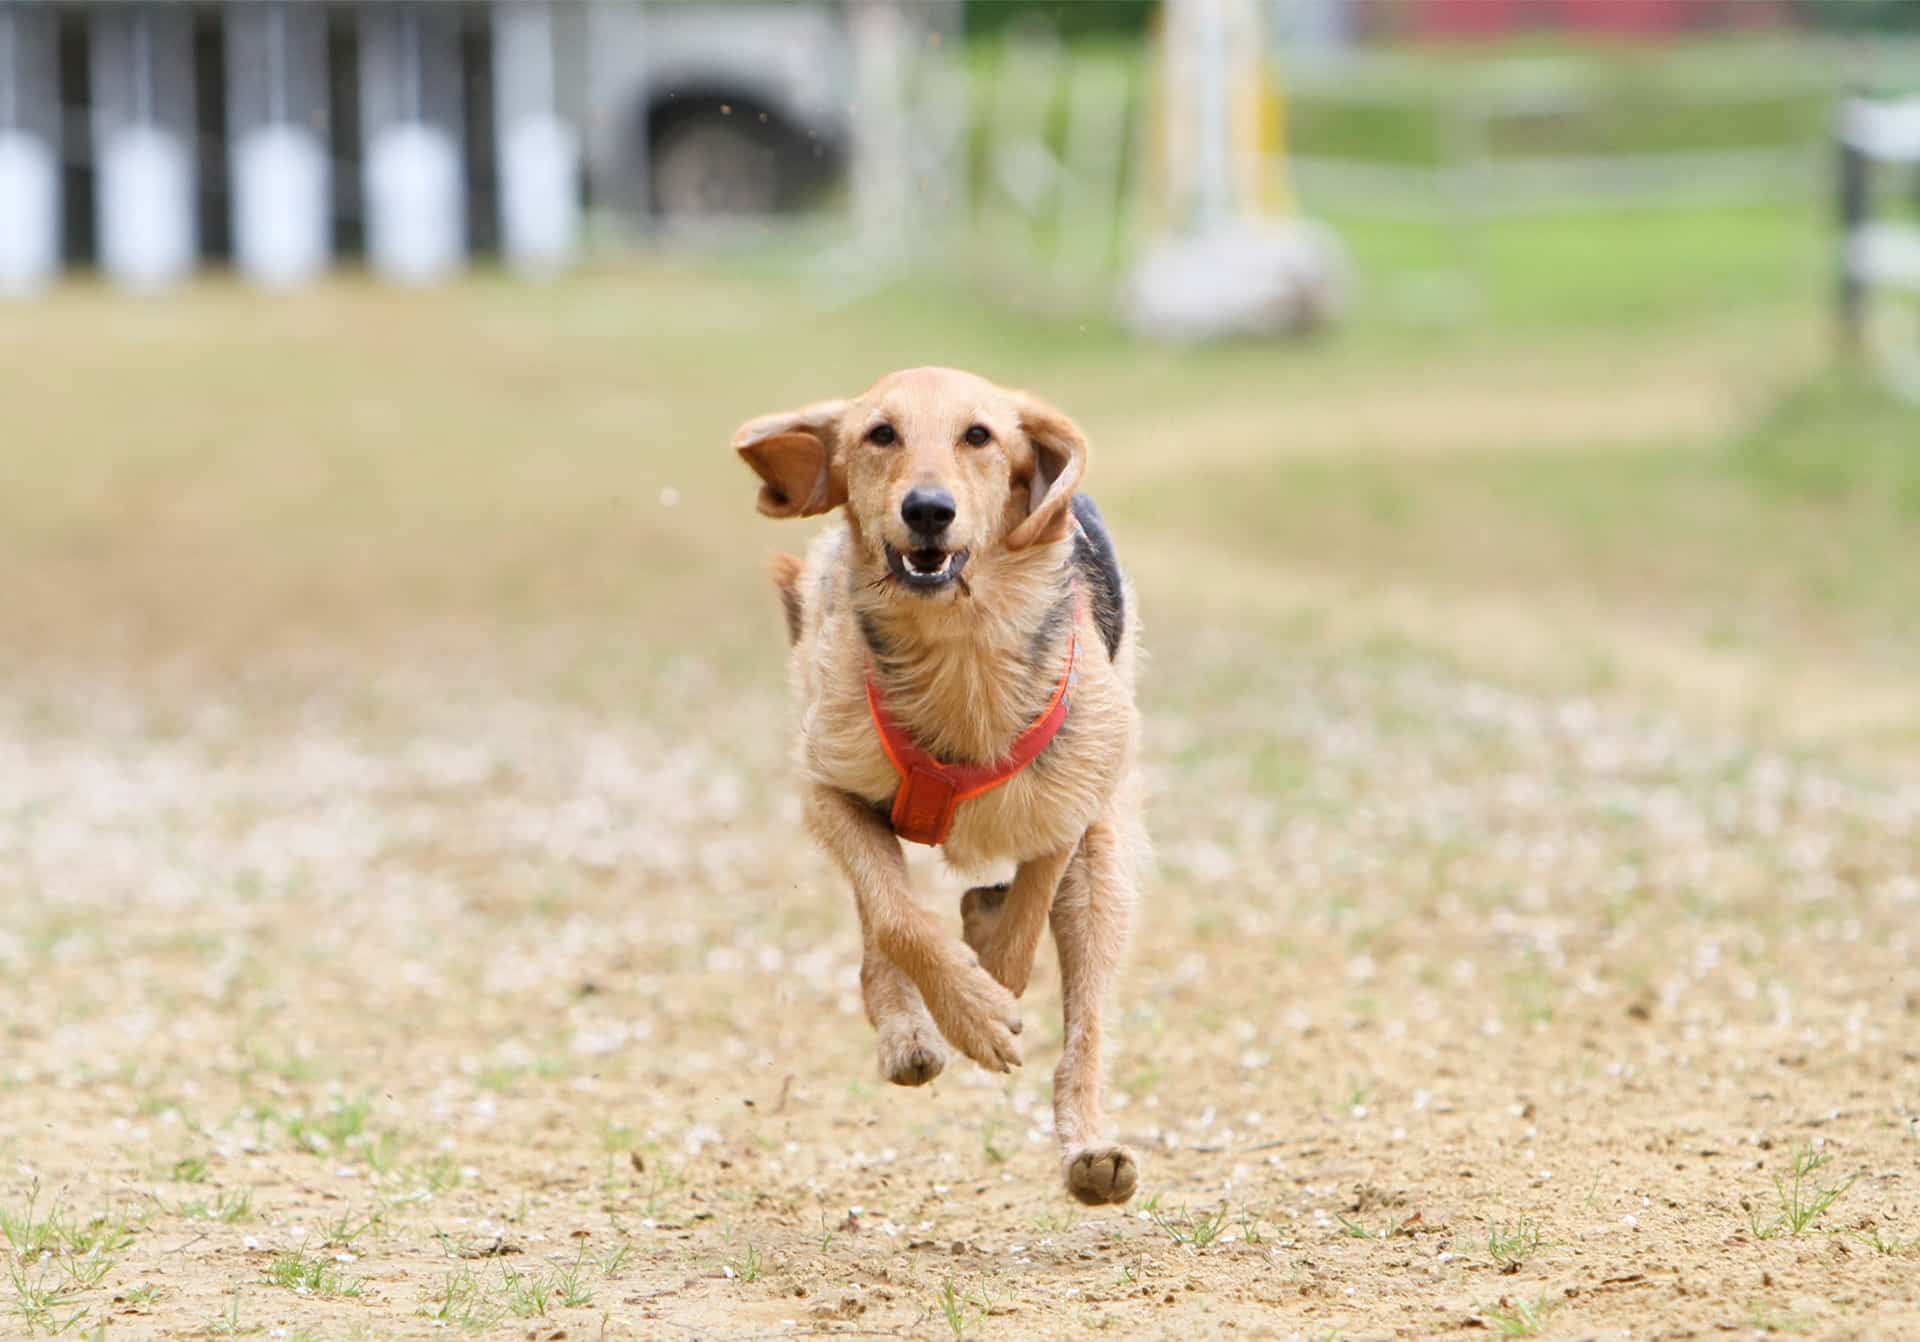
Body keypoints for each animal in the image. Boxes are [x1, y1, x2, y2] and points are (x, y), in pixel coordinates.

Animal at [733, 366, 1136, 1205]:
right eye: (879, 434)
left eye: (979, 435)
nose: (927, 509)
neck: (959, 646)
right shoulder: (828, 788)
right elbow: (897, 921)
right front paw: (966, 1014)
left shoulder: (1073, 804)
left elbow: (1020, 935)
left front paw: (987, 976)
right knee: (880, 922)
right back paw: (908, 1032)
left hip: (1108, 866)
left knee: (1085, 1019)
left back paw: (1091, 1151)